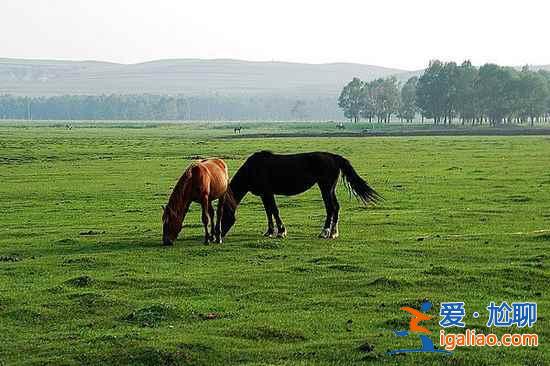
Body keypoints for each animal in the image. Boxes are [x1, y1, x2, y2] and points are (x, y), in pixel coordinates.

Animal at [219, 150, 380, 239]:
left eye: (222, 217)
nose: (218, 235)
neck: (252, 169)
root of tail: (334, 157)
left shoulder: (268, 192)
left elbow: (274, 211)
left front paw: (281, 232)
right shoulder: (264, 195)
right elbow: (269, 212)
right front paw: (270, 232)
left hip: (325, 187)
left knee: (331, 208)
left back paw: (325, 233)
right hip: (330, 188)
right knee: (336, 207)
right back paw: (334, 232)